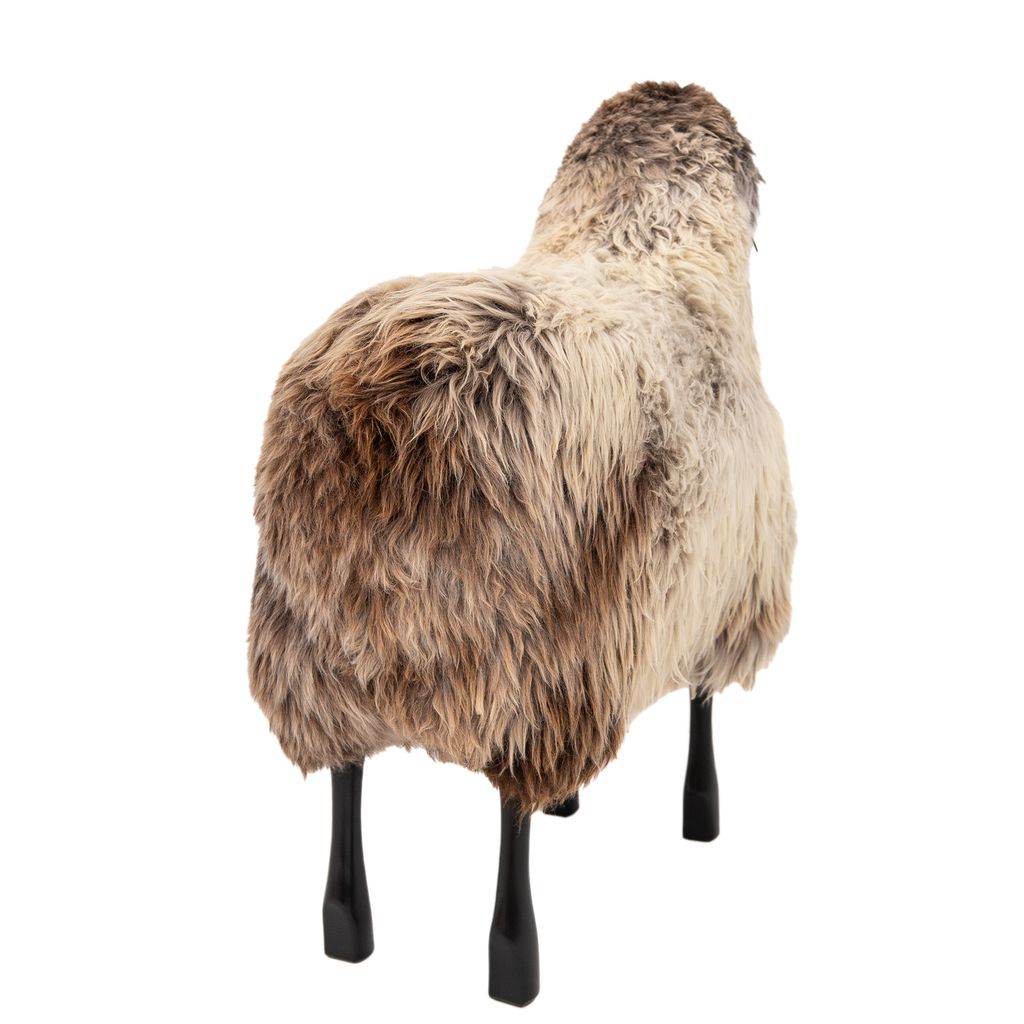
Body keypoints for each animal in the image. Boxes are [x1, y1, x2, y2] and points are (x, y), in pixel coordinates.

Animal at [248, 81, 796, 1006]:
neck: (638, 239)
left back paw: (348, 930)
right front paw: (701, 817)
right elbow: (703, 713)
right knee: (508, 827)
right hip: (532, 664)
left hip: (322, 655)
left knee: (346, 784)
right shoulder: (724, 593)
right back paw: (514, 965)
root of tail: (384, 414)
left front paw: (579, 809)